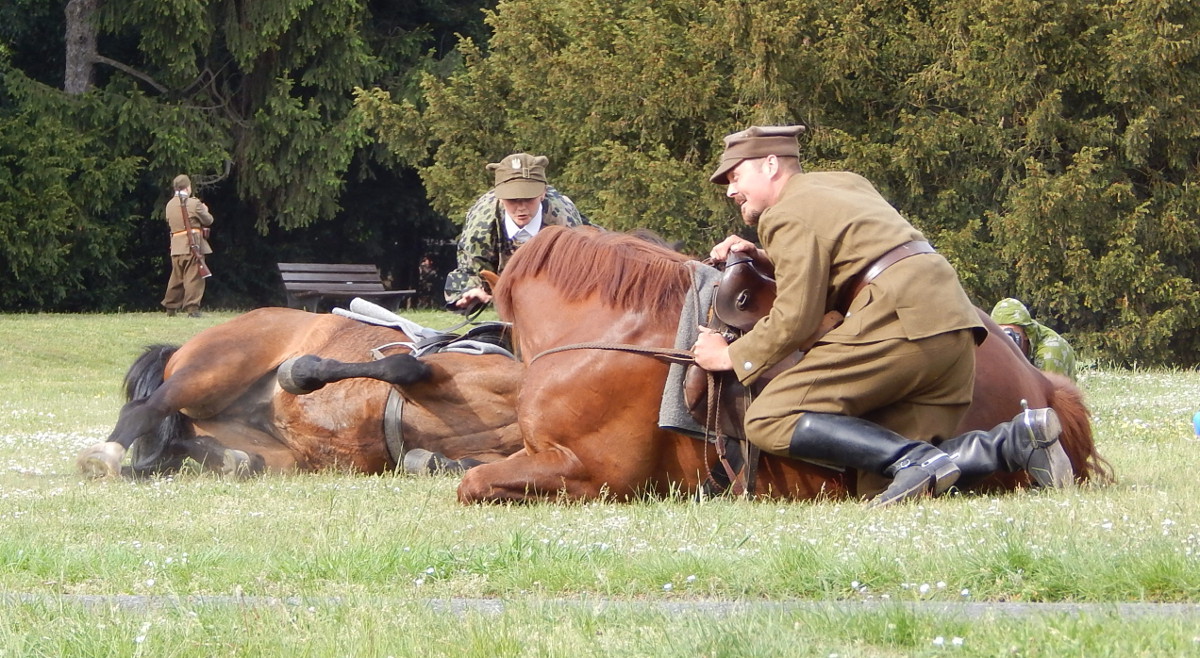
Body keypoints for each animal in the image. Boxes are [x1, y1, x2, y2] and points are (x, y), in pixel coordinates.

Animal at [77, 307, 523, 477]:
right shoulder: (433, 375)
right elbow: (402, 366)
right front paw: (301, 373)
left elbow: (466, 464)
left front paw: (431, 461)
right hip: (212, 371)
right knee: (143, 410)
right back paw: (104, 457)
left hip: (276, 454)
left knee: (189, 446)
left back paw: (231, 460)